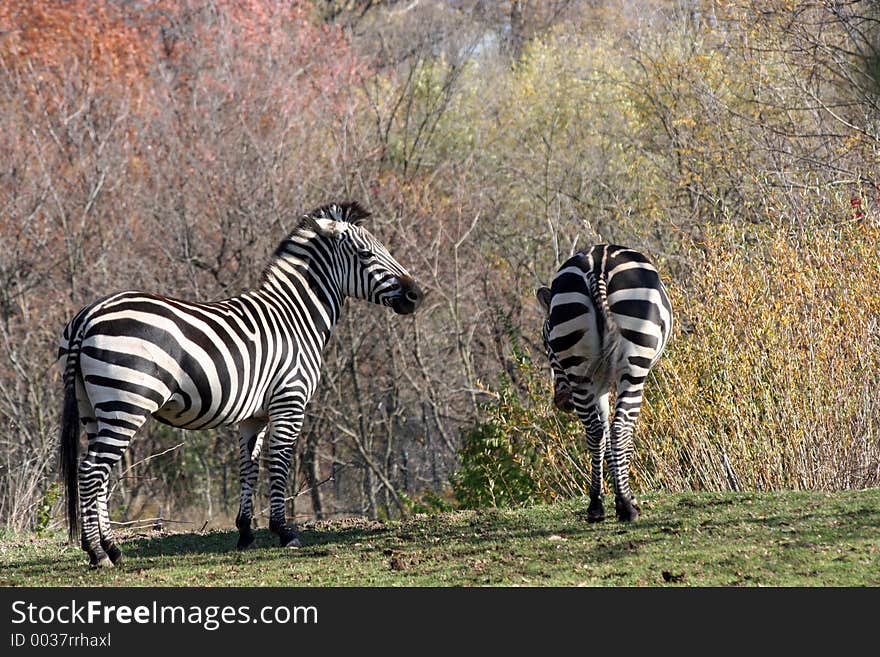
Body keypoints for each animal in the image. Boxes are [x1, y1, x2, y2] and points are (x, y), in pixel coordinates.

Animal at [58, 200, 422, 564]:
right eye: (365, 254)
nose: (416, 294)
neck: (297, 316)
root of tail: (88, 315)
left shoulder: (253, 415)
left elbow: (250, 466)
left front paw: (246, 532)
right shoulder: (290, 400)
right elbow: (279, 461)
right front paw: (284, 531)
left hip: (91, 406)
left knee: (98, 473)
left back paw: (111, 548)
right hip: (126, 402)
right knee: (92, 471)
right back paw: (98, 551)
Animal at [536, 245, 672, 524]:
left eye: (547, 343)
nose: (562, 402)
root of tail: (597, 267)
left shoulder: (598, 384)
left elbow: (604, 432)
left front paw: (611, 498)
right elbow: (619, 433)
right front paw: (626, 500)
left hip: (579, 369)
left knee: (595, 430)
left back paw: (595, 505)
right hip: (634, 365)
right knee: (621, 427)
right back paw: (628, 508)